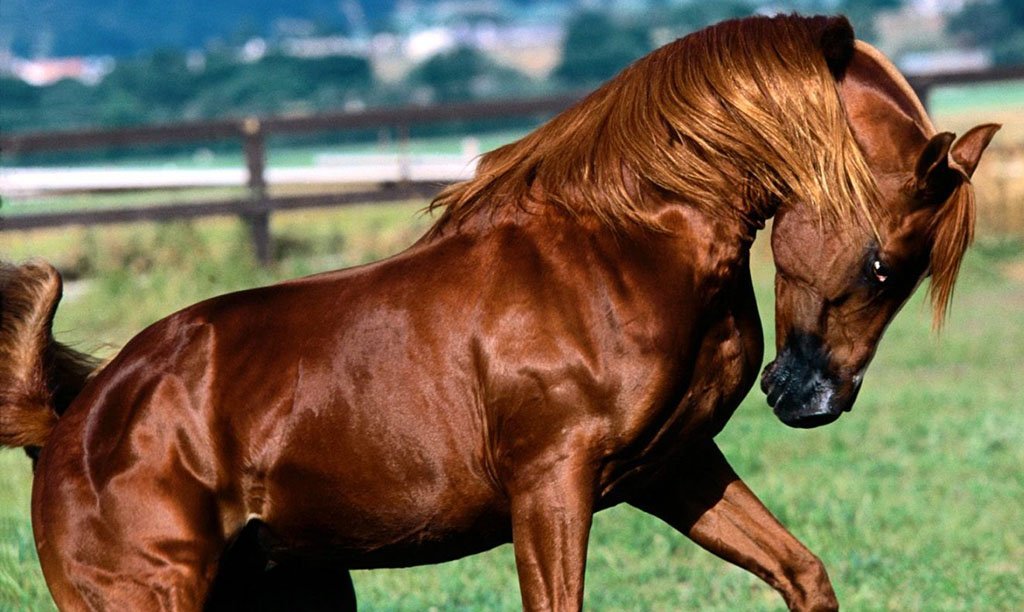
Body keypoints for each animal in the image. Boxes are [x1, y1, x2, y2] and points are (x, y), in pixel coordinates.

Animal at [0, 14, 998, 611]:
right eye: (883, 263)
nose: (809, 398)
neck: (623, 247)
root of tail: (70, 426)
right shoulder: (551, 486)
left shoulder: (673, 469)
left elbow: (803, 572)